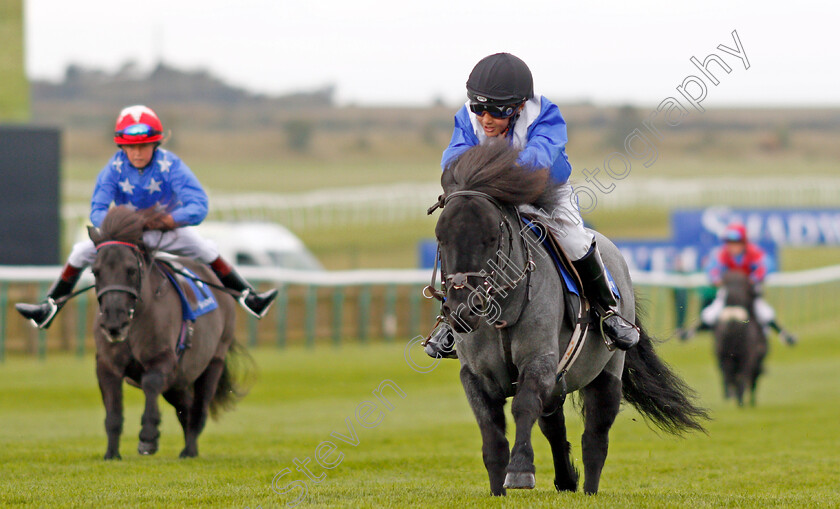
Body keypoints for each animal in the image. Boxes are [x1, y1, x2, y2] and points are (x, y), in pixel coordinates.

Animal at [92, 204, 251, 458]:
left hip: (212, 362)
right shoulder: (107, 364)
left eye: (131, 270)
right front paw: (111, 454)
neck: (135, 319)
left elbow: (150, 383)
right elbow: (113, 412)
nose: (113, 322)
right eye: (96, 271)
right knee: (185, 406)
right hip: (179, 379)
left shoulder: (164, 358)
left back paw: (189, 451)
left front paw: (148, 437)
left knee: (198, 409)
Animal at [434, 141, 708, 494]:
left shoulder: (540, 362)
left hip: (606, 376)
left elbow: (524, 406)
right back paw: (565, 479)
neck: (502, 314)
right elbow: (492, 433)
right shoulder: (475, 376)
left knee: (595, 437)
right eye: (441, 237)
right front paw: (498, 489)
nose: (462, 309)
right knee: (554, 426)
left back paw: (588, 488)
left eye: (491, 238)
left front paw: (520, 470)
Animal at [716, 270, 768, 404]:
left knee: (729, 378)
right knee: (743, 379)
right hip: (747, 359)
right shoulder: (751, 359)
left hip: (726, 358)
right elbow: (749, 380)